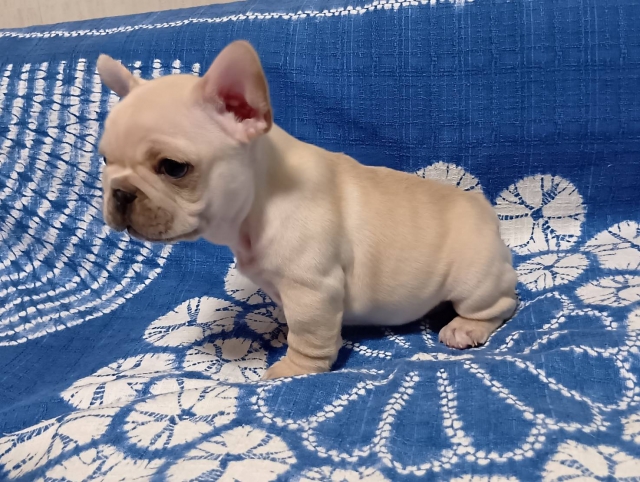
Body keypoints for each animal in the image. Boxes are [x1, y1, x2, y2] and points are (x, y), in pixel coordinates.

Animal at [97, 41, 518, 379]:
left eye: (173, 168)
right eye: (103, 160)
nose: (120, 192)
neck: (261, 201)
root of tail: (482, 208)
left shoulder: (312, 289)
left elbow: (310, 336)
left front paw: (292, 370)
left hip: (473, 281)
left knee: (500, 305)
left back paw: (466, 328)